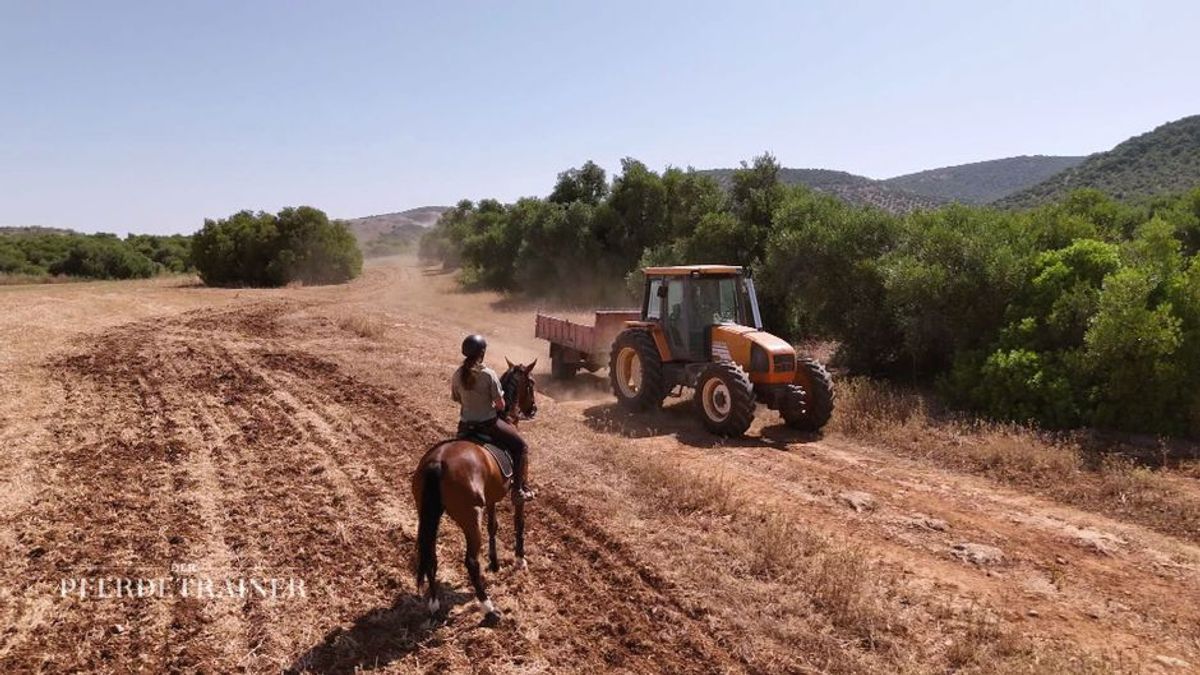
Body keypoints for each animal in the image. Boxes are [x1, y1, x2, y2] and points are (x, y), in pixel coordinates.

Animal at [417, 357, 540, 619]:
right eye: (531, 383)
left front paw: (495, 563)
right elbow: (519, 522)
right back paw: (488, 606)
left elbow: (494, 526)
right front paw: (519, 560)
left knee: (430, 553)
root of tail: (437, 462)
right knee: (471, 561)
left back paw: (434, 602)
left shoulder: (492, 496)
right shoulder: (515, 495)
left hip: (428, 513)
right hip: (471, 518)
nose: (533, 409)